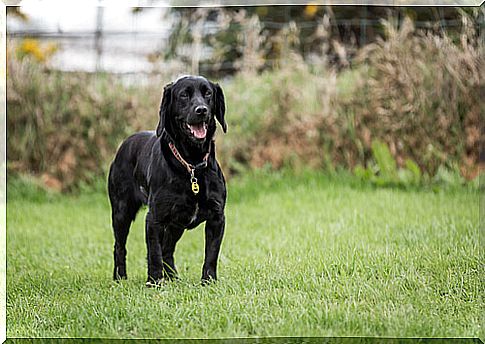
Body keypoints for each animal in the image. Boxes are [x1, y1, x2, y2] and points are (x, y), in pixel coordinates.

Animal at [108, 75, 227, 284]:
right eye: (184, 95)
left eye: (208, 94)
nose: (202, 110)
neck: (191, 164)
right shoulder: (154, 219)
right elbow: (154, 253)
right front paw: (155, 281)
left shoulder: (217, 217)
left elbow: (211, 254)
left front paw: (209, 281)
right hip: (121, 212)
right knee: (120, 247)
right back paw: (120, 277)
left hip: (176, 224)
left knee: (168, 250)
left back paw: (173, 277)